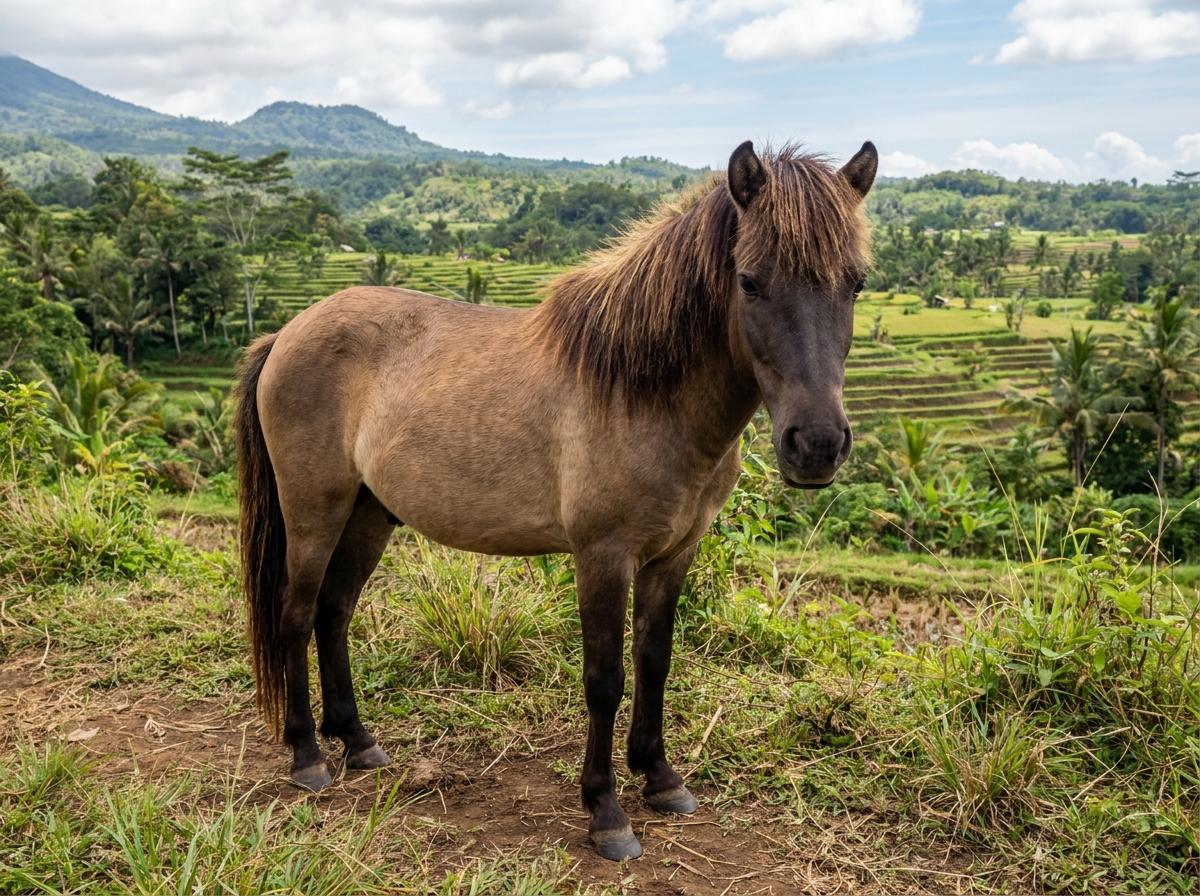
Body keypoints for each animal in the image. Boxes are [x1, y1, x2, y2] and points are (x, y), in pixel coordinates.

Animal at [234, 138, 877, 861]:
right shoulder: (602, 556)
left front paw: (661, 778)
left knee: (334, 612)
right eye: (750, 281)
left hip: (370, 513)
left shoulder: (673, 556)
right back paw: (308, 756)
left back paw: (358, 742)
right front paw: (606, 812)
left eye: (855, 283)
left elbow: (655, 662)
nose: (816, 445)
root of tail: (287, 333)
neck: (644, 392)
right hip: (314, 510)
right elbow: (605, 679)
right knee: (294, 614)